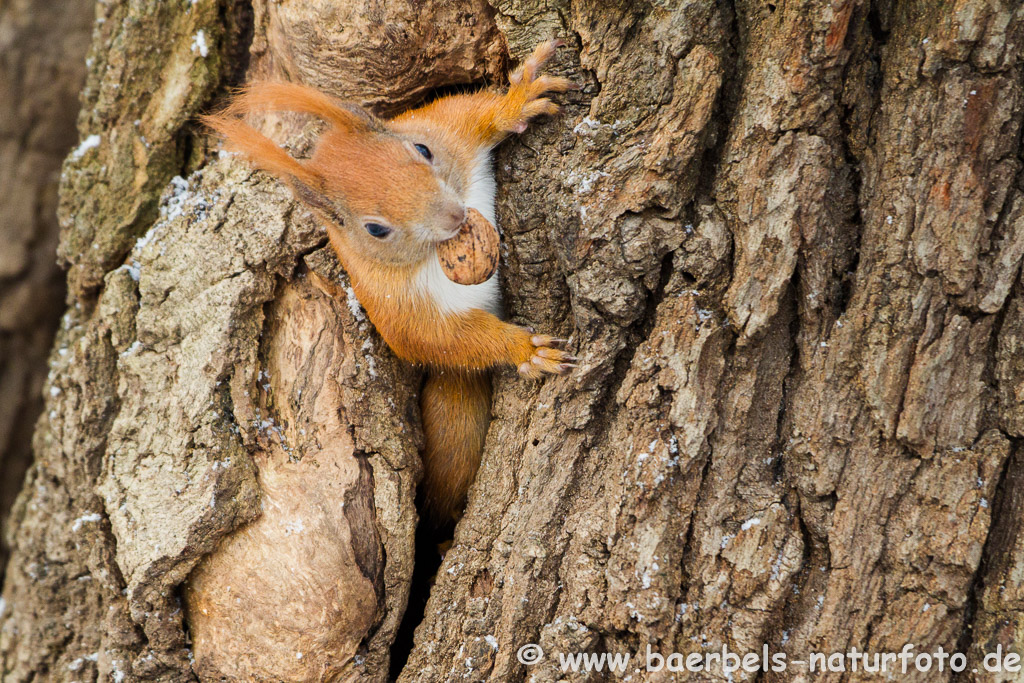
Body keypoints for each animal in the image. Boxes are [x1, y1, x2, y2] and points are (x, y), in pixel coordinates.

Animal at [201, 40, 577, 524]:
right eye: (375, 230)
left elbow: (470, 112)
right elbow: (438, 338)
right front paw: (525, 350)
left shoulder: (446, 129)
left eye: (422, 149)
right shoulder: (396, 303)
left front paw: (518, 101)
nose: (455, 217)